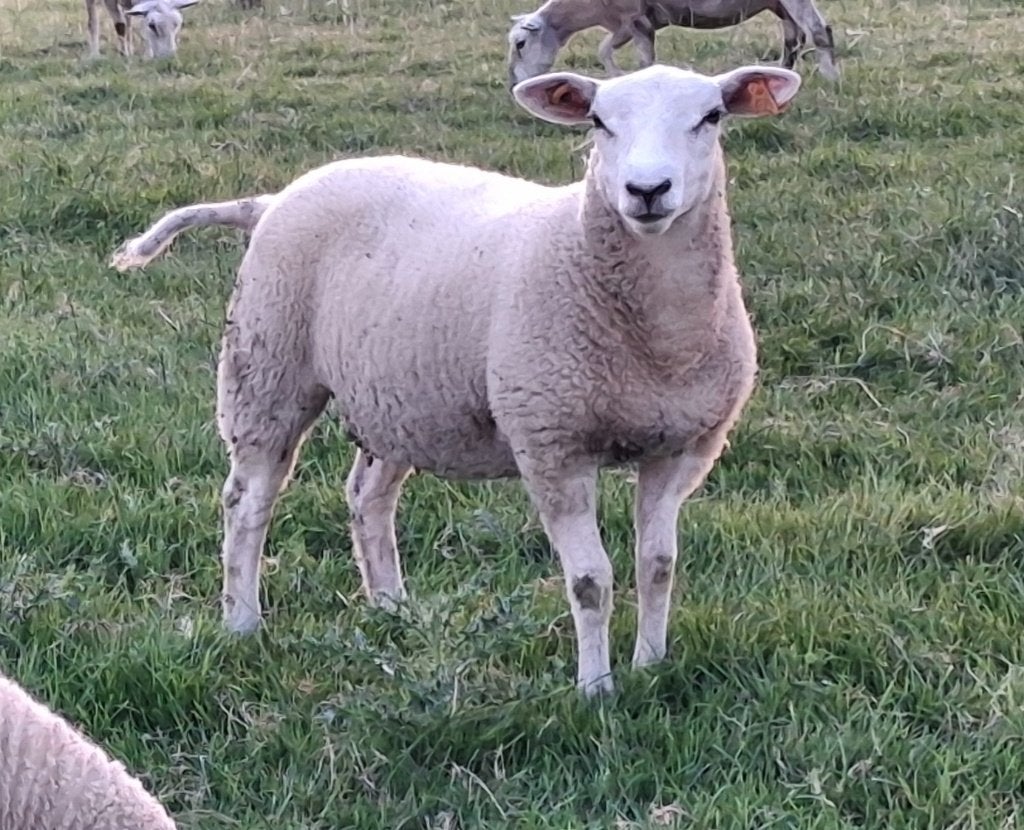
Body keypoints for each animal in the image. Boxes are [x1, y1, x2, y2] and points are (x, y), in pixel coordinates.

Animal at [113, 62, 802, 695]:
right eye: (599, 123)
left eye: (711, 117)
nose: (647, 189)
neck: (657, 342)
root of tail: (273, 199)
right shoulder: (551, 444)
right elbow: (591, 581)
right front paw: (596, 691)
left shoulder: (682, 446)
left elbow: (657, 564)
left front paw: (651, 667)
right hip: (267, 365)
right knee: (247, 500)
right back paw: (242, 622)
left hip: (399, 397)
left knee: (367, 496)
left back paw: (392, 609)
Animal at [507, 0, 838, 87]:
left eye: (520, 44)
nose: (513, 84)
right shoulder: (630, 22)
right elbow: (609, 50)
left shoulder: (633, 19)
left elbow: (619, 53)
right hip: (779, 6)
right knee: (794, 40)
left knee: (819, 32)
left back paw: (832, 78)